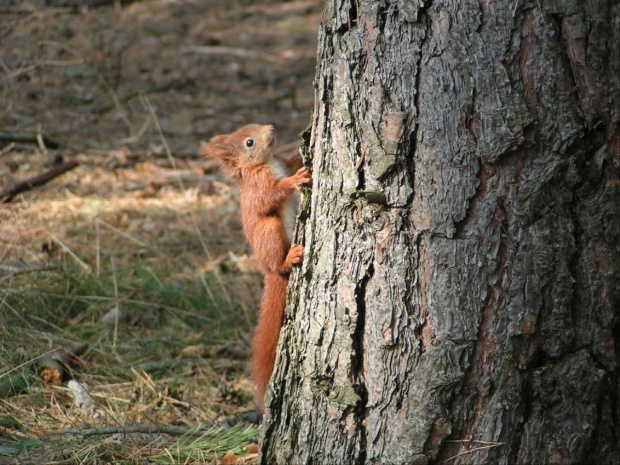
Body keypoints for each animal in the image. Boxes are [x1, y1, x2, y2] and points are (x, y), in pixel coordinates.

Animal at [201, 124, 312, 410]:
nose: (271, 128)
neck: (268, 162)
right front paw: (293, 180)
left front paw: (300, 153)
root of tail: (269, 271)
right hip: (269, 231)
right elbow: (269, 196)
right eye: (249, 142)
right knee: (277, 254)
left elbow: (290, 162)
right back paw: (289, 258)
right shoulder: (258, 185)